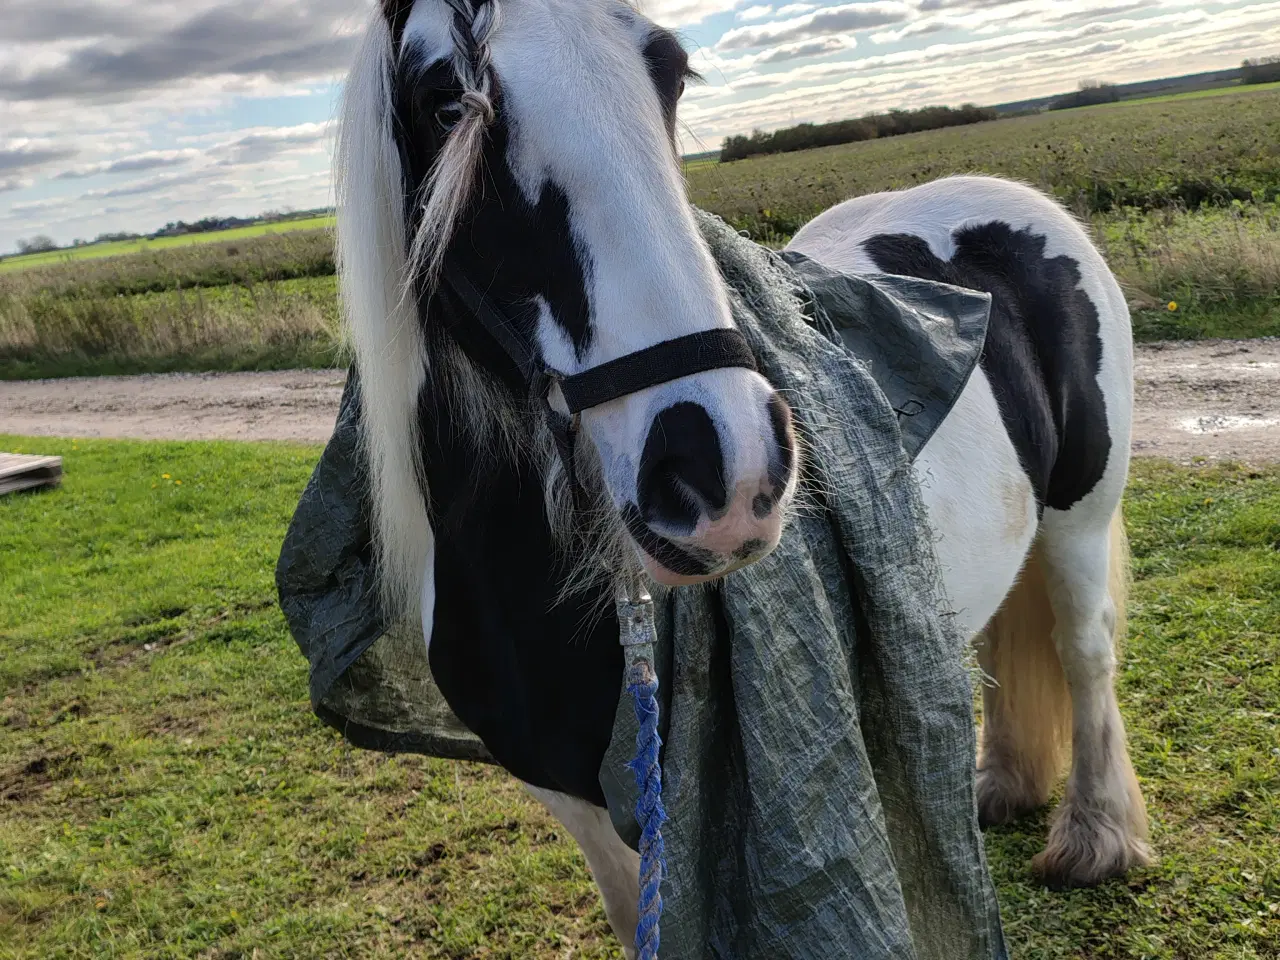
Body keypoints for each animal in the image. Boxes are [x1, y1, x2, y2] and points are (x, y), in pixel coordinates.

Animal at [337, 0, 1152, 947]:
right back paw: (1003, 785)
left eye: (669, 71)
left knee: (1084, 651)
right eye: (442, 102)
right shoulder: (582, 808)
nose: (720, 466)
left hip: (1079, 517)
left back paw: (1096, 836)